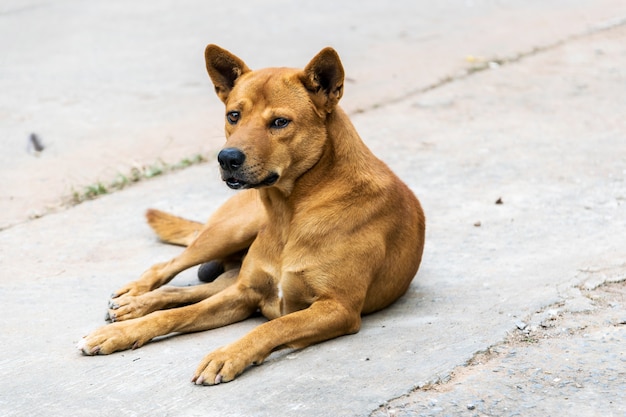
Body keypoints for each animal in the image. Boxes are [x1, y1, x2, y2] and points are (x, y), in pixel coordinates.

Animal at [78, 44, 424, 384]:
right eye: (233, 115)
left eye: (280, 122)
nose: (226, 158)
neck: (289, 211)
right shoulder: (246, 293)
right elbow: (179, 314)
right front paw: (122, 334)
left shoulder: (337, 308)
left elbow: (274, 325)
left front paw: (227, 355)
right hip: (228, 234)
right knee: (167, 268)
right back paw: (133, 299)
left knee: (189, 290)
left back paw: (132, 306)